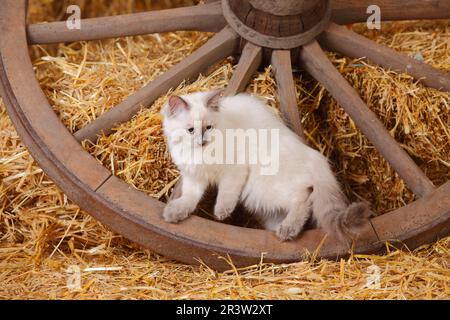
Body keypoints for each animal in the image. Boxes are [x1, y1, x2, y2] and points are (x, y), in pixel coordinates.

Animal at [160, 89, 370, 240]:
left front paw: (221, 213)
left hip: (263, 187)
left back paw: (288, 230)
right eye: (190, 130)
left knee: (304, 199)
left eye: (209, 128)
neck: (199, 153)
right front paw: (175, 213)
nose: (202, 140)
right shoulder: (194, 176)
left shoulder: (234, 170)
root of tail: (317, 158)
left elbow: (226, 195)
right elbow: (189, 198)